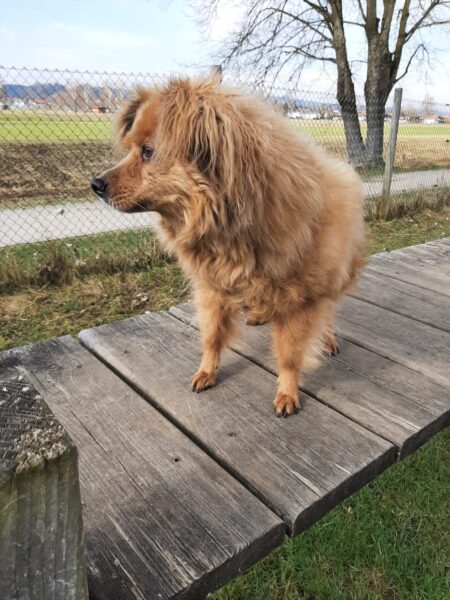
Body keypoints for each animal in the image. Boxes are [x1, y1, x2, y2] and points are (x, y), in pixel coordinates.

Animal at [91, 76, 365, 417]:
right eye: (130, 149)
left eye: (148, 151)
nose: (95, 184)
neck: (229, 229)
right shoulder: (212, 289)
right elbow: (211, 338)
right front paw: (206, 371)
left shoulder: (298, 301)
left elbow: (289, 355)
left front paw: (287, 392)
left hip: (333, 279)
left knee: (328, 313)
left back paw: (327, 339)